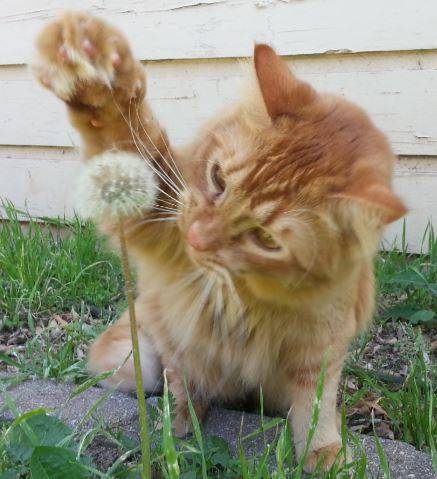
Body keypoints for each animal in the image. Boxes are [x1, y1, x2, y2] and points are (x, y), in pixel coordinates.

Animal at [33, 11, 406, 472]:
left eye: (265, 238)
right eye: (217, 178)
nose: (195, 238)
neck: (250, 295)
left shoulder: (320, 347)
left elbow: (315, 407)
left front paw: (324, 453)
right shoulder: (159, 214)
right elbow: (121, 127)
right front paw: (94, 68)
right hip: (136, 359)